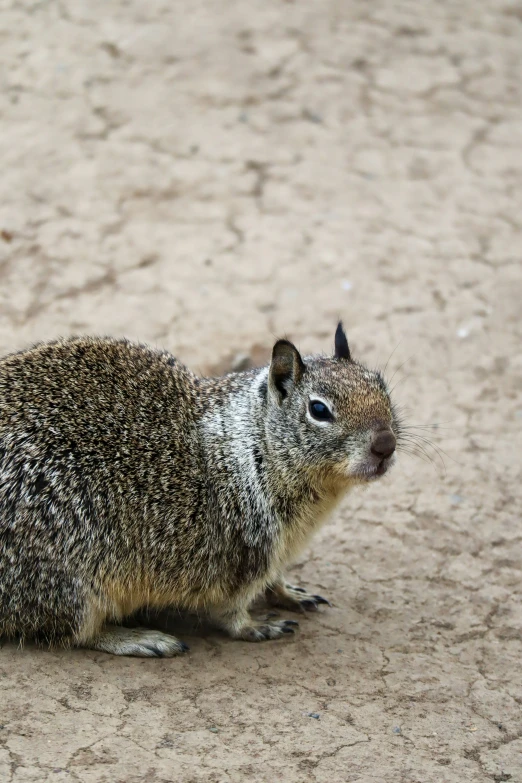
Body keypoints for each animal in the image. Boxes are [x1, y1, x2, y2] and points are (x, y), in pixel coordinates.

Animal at [1, 324, 398, 656]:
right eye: (319, 409)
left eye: (381, 385)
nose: (386, 444)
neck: (255, 444)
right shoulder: (243, 556)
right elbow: (231, 614)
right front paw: (258, 626)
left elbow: (276, 580)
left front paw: (291, 592)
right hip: (72, 582)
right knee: (73, 633)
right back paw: (142, 639)